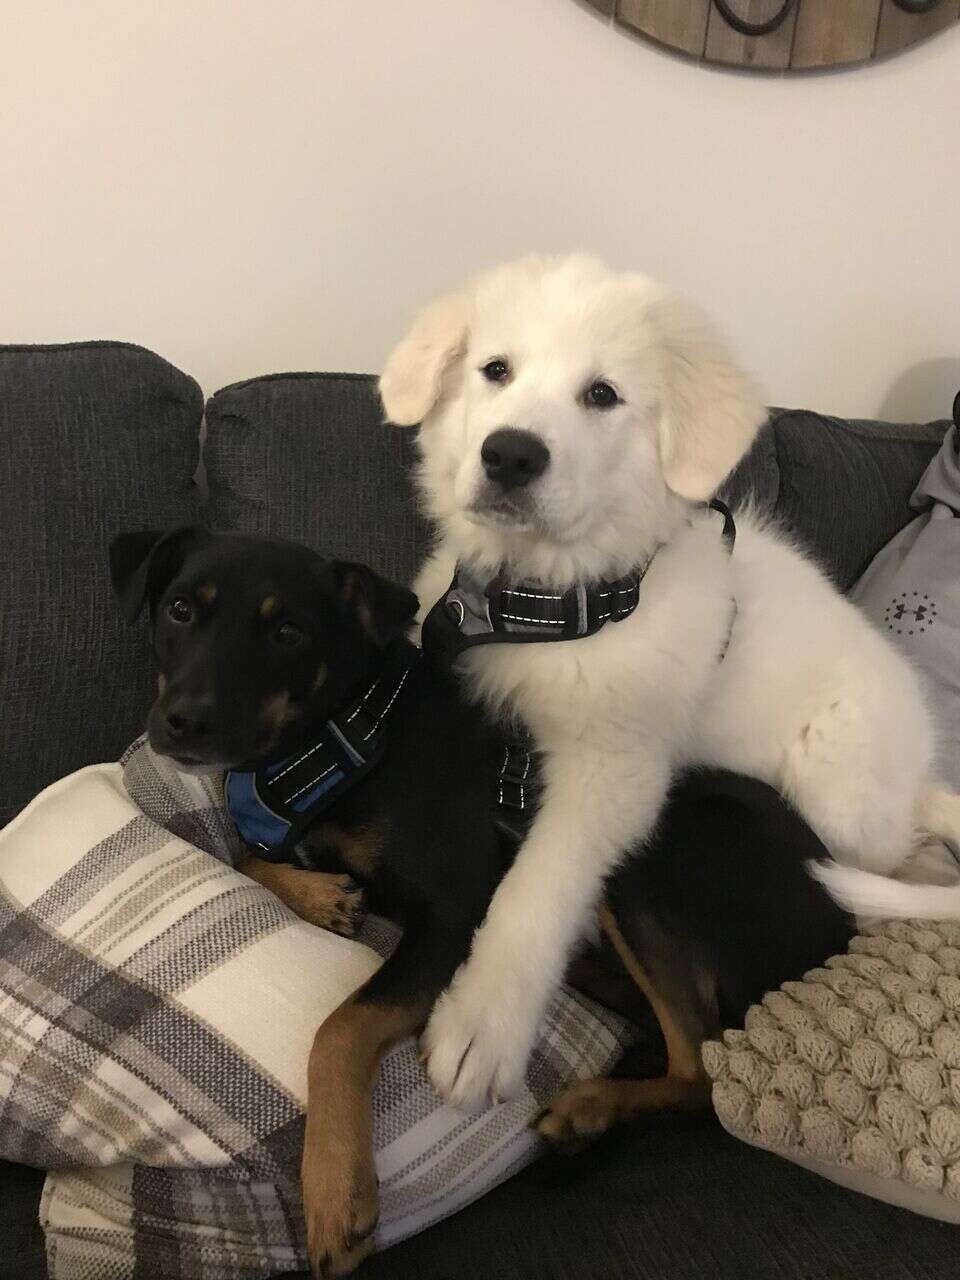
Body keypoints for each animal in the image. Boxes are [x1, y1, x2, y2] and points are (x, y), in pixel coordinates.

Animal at [108, 524, 855, 1274]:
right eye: (179, 611)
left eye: (287, 631)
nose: (185, 723)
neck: (349, 728)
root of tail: (843, 925)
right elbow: (242, 852)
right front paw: (322, 896)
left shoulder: (451, 912)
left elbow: (339, 1029)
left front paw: (335, 1193)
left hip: (642, 859)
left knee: (700, 1069)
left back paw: (588, 1105)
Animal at [378, 254, 960, 1105]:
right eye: (495, 370)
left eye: (601, 395)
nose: (510, 454)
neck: (546, 604)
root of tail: (917, 774)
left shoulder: (615, 774)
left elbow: (537, 890)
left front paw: (485, 1023)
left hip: (834, 784)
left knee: (905, 855)